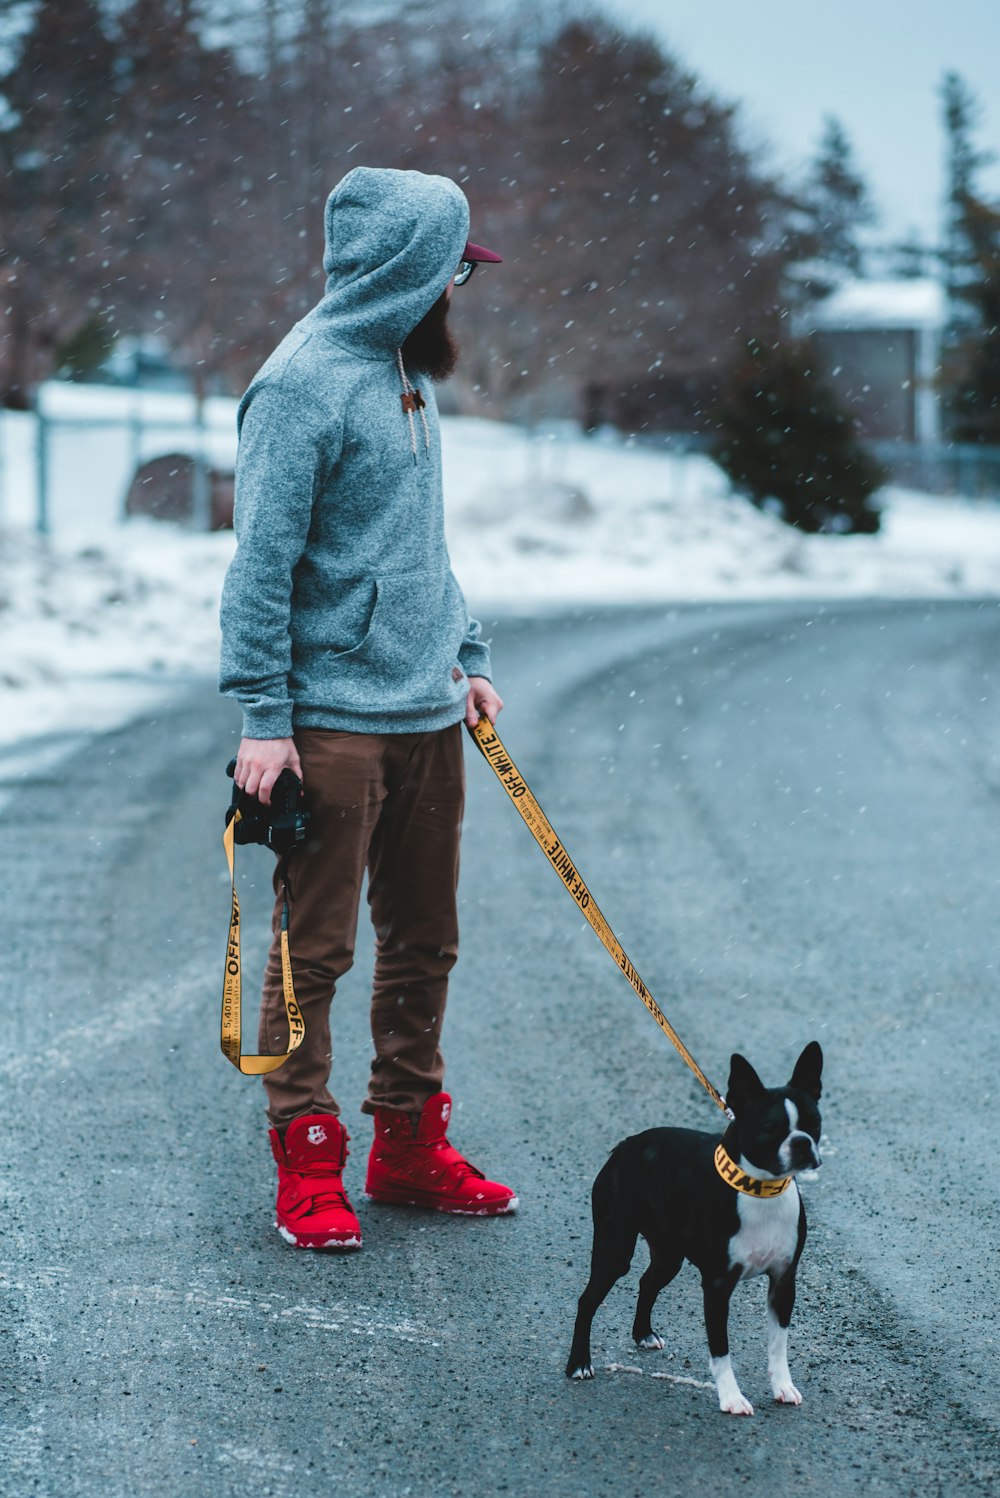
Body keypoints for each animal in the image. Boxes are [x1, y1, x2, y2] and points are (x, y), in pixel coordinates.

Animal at [565, 1042, 826, 1414]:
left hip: (669, 1254)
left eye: (814, 1123)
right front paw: (731, 1398)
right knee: (587, 1301)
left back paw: (643, 1333)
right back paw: (578, 1363)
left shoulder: (783, 1281)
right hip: (614, 1249)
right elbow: (720, 1349)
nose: (802, 1142)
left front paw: (783, 1387)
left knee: (648, 1282)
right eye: (770, 1129)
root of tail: (626, 1144)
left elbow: (778, 1345)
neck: (759, 1190)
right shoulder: (717, 1286)